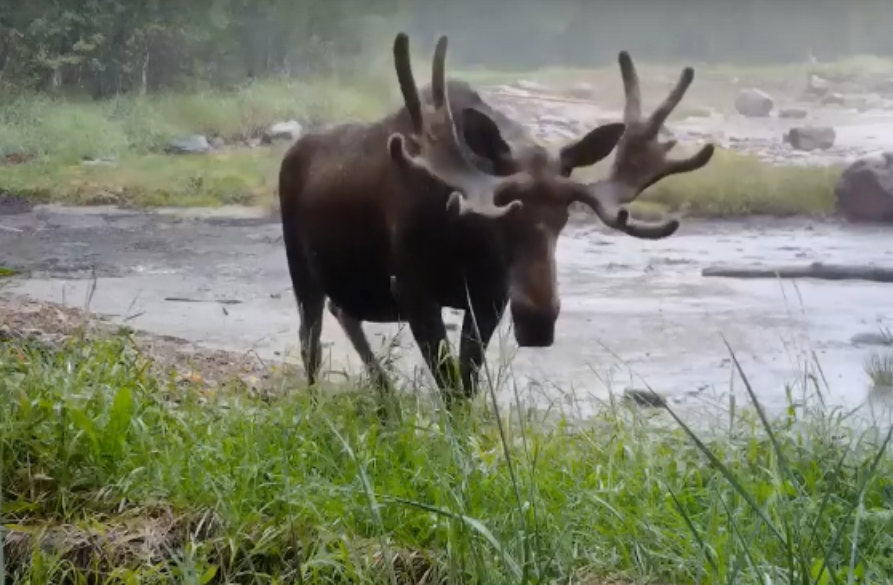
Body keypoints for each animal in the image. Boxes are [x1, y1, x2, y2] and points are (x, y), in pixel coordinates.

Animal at [277, 32, 715, 408]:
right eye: (502, 217)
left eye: (564, 216)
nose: (539, 322)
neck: (466, 242)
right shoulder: (413, 289)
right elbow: (449, 384)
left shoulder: (489, 299)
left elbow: (467, 385)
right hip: (301, 269)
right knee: (310, 342)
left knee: (343, 313)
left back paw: (386, 395)